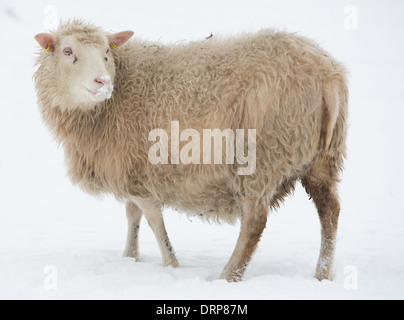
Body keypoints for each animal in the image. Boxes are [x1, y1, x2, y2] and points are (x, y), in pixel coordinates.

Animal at [34, 20, 348, 282]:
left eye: (106, 52)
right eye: (67, 51)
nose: (103, 82)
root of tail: (326, 76)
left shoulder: (142, 174)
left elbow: (153, 220)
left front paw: (171, 265)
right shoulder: (131, 170)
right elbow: (133, 216)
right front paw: (130, 258)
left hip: (262, 155)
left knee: (254, 223)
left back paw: (228, 275)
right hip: (322, 157)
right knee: (330, 211)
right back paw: (322, 274)